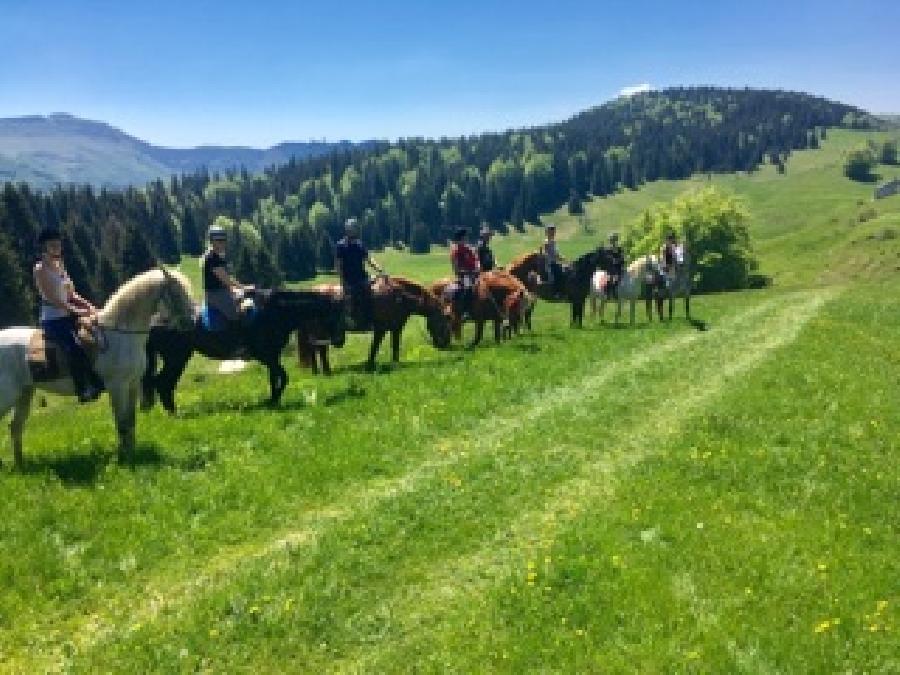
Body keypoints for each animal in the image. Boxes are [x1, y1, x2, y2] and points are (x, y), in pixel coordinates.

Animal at [0, 267, 194, 466]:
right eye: (176, 293)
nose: (191, 323)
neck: (121, 336)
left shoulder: (132, 385)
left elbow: (130, 421)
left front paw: (132, 452)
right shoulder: (117, 387)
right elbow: (121, 423)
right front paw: (123, 458)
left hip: (24, 393)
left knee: (15, 426)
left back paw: (21, 464)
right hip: (7, 395)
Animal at [142, 289, 346, 413]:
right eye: (334, 314)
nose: (339, 341)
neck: (277, 313)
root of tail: (153, 322)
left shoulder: (272, 356)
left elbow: (274, 378)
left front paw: (273, 400)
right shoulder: (267, 356)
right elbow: (283, 376)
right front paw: (274, 400)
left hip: (177, 358)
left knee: (165, 383)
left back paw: (173, 411)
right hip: (177, 357)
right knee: (162, 383)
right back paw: (173, 414)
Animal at [297, 276, 452, 374]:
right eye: (446, 320)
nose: (444, 345)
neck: (400, 296)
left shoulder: (395, 328)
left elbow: (393, 346)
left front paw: (393, 362)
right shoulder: (381, 329)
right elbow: (377, 346)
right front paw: (372, 364)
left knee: (314, 349)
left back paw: (316, 371)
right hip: (319, 331)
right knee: (320, 350)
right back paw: (326, 371)